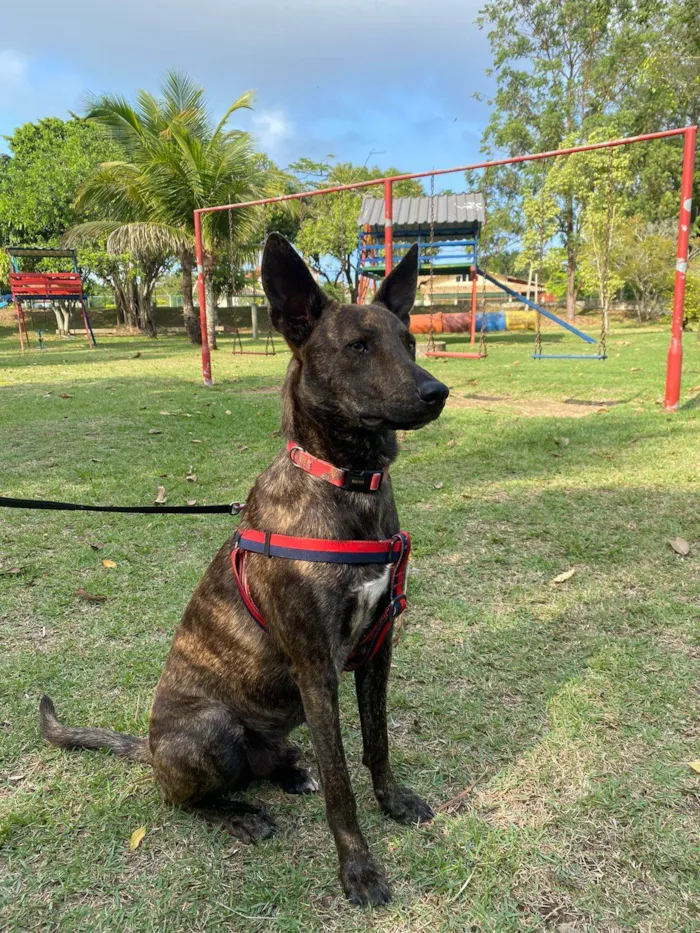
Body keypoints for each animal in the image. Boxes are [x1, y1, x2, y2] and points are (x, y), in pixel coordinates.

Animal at [39, 231, 448, 904]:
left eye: (409, 343)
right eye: (358, 348)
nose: (436, 392)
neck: (346, 484)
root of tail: (150, 748)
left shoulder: (377, 652)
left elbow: (377, 743)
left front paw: (393, 801)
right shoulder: (316, 669)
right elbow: (342, 783)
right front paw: (358, 867)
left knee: (273, 763)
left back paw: (288, 773)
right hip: (212, 733)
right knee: (184, 798)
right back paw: (239, 814)